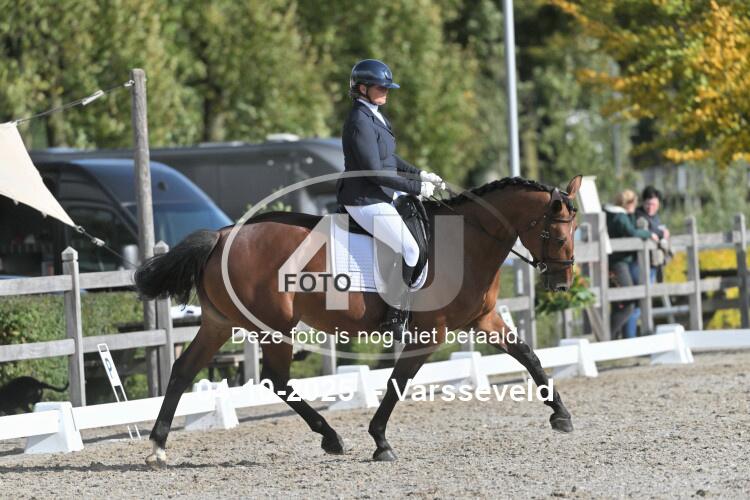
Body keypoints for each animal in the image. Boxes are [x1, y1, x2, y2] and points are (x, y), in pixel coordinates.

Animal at [134, 175, 582, 468]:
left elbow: (528, 355)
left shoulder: (483, 319)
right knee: (275, 380)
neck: (468, 241)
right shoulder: (430, 331)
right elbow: (398, 382)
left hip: (219, 323)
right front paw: (380, 441)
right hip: (274, 326)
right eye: (559, 235)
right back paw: (331, 438)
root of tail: (224, 235)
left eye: (575, 231)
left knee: (183, 369)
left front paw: (561, 415)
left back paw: (158, 446)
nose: (562, 282)